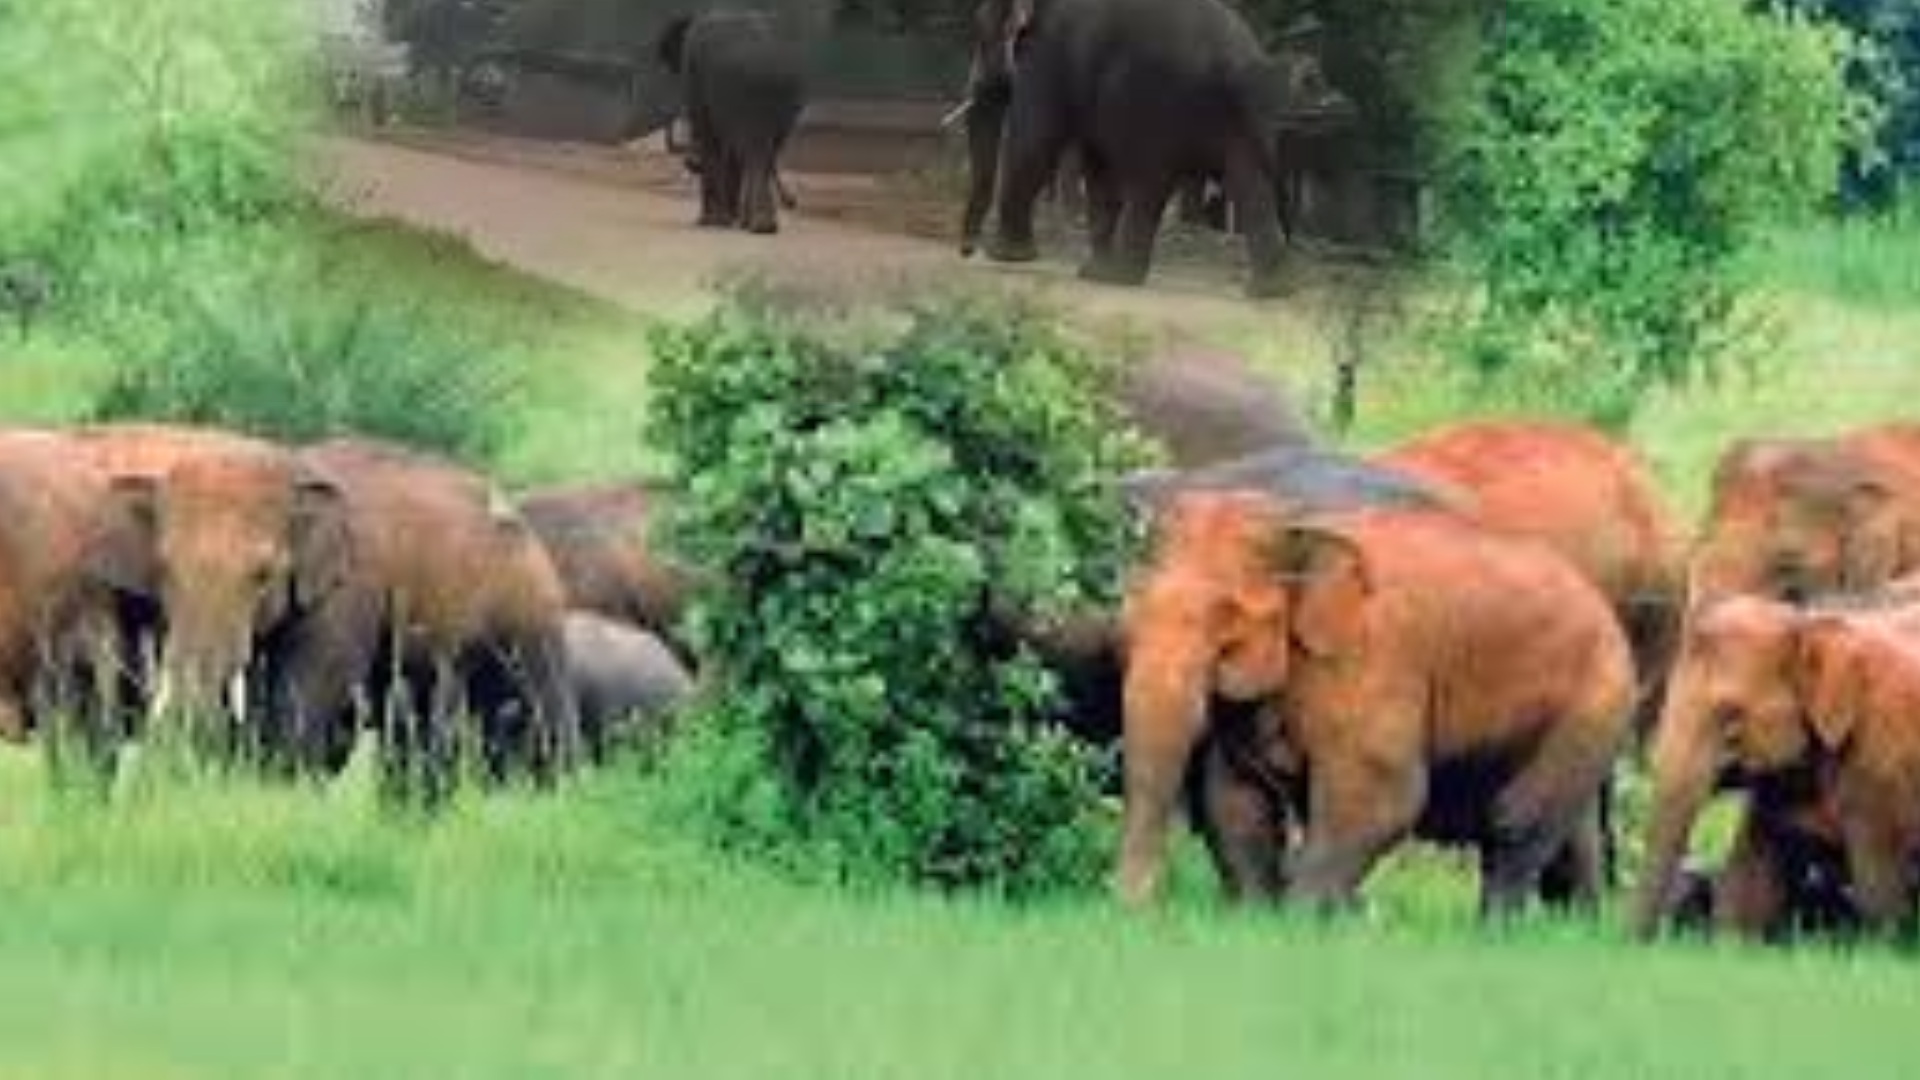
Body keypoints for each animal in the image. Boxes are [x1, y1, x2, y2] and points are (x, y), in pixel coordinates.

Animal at [655, 11, 807, 235]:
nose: (792, 201)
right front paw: (727, 220)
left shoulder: (694, 75)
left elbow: (709, 137)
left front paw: (711, 221)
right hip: (786, 98)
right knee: (767, 151)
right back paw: (760, 224)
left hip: (744, 94)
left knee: (753, 150)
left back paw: (757, 225)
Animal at [970, 0, 1290, 297]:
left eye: (983, 35)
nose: (966, 250)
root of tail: (1234, 63)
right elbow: (1097, 165)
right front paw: (1090, 269)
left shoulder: (1049, 51)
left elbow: (1034, 140)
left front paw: (1004, 255)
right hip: (1244, 119)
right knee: (1249, 180)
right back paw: (1270, 289)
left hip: (1162, 107)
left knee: (1149, 182)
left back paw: (1119, 277)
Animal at [1117, 494, 1635, 911]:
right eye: (1134, 606)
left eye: (1227, 615)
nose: (1136, 907)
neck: (1298, 522)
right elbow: (1234, 800)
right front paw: (1256, 919)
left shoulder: (1373, 657)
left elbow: (1383, 796)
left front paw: (1297, 921)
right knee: (1572, 833)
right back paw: (1578, 932)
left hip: (1596, 698)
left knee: (1515, 819)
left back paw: (1497, 933)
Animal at [1632, 595, 1920, 940]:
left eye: (1732, 717)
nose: (1636, 940)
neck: (1804, 624)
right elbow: (1751, 879)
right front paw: (1732, 941)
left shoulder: (1883, 756)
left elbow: (1879, 876)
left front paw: (1887, 944)